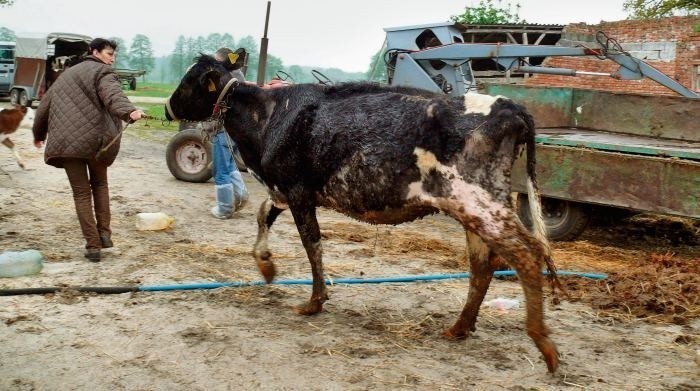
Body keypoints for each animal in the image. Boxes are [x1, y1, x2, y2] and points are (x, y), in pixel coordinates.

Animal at [167, 55, 560, 374]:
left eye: (188, 81)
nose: (169, 109)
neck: (269, 115)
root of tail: (509, 106)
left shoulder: (297, 190)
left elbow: (312, 245)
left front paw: (314, 302)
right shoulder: (282, 190)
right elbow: (263, 215)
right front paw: (266, 265)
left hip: (480, 202)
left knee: (527, 254)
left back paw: (543, 343)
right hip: (473, 207)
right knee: (484, 264)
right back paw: (460, 327)